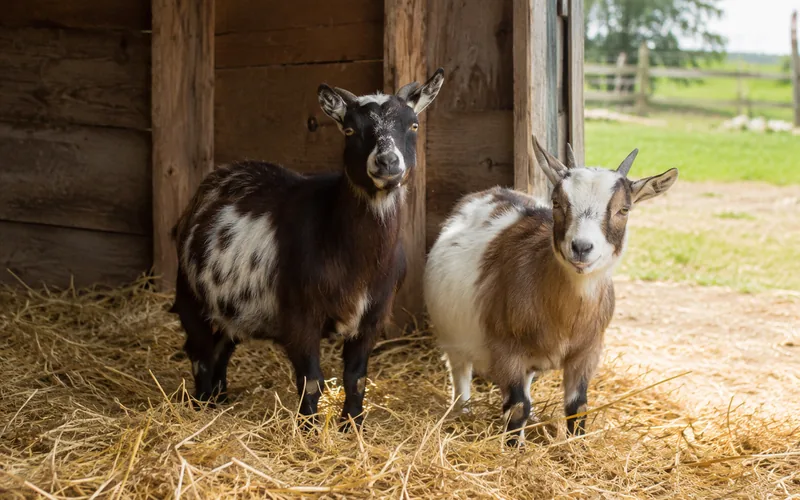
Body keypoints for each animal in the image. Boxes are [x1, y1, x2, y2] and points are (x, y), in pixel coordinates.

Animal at [169, 68, 445, 429]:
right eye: (349, 130)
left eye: (413, 125)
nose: (387, 162)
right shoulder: (299, 315)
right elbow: (311, 380)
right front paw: (309, 429)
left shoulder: (373, 316)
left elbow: (356, 378)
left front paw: (352, 425)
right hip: (191, 296)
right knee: (200, 352)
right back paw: (202, 404)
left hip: (231, 306)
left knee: (221, 348)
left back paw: (220, 401)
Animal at [423, 136, 678, 445]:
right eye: (557, 202)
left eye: (624, 209)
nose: (581, 247)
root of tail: (491, 192)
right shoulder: (506, 349)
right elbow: (517, 406)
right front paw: (515, 449)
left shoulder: (588, 351)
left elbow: (577, 406)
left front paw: (575, 448)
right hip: (452, 334)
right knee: (460, 372)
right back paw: (463, 411)